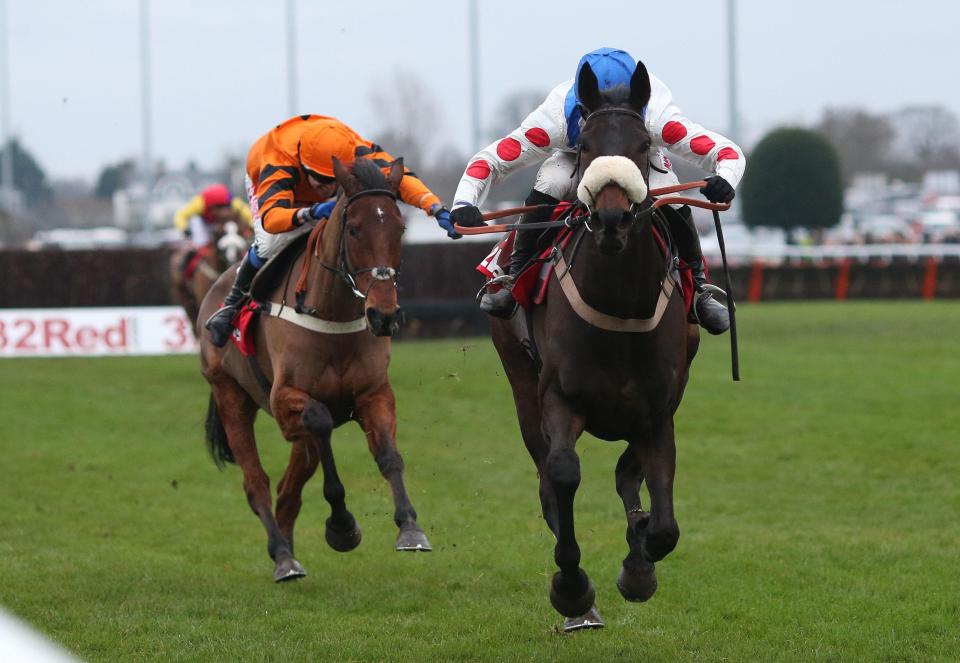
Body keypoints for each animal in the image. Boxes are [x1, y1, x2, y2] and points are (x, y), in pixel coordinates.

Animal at [197, 158, 430, 584]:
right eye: (354, 229)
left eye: (399, 228)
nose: (384, 315)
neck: (333, 314)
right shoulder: (288, 401)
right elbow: (321, 422)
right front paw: (342, 526)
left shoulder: (373, 393)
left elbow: (389, 456)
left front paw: (410, 527)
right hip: (229, 394)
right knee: (256, 483)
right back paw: (283, 557)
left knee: (288, 490)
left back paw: (287, 552)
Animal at [488, 61, 696, 628]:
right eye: (584, 147)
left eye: (644, 144)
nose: (610, 219)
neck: (619, 305)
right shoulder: (559, 396)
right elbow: (562, 475)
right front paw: (572, 587)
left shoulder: (658, 409)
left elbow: (663, 521)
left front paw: (639, 565)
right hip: (519, 380)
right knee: (546, 478)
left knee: (628, 473)